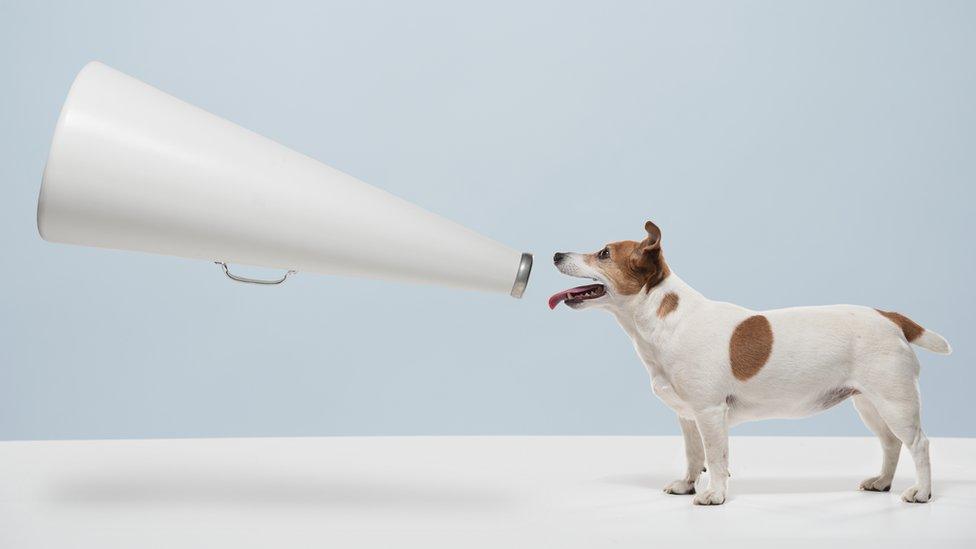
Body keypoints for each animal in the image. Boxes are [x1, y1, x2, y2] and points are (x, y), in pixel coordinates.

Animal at [552, 220, 948, 504]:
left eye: (603, 253)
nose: (555, 253)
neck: (665, 320)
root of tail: (890, 316)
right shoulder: (688, 416)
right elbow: (694, 455)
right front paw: (687, 485)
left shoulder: (710, 412)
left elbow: (716, 457)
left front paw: (714, 494)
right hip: (869, 404)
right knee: (891, 444)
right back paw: (882, 482)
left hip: (895, 402)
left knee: (919, 444)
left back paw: (922, 493)